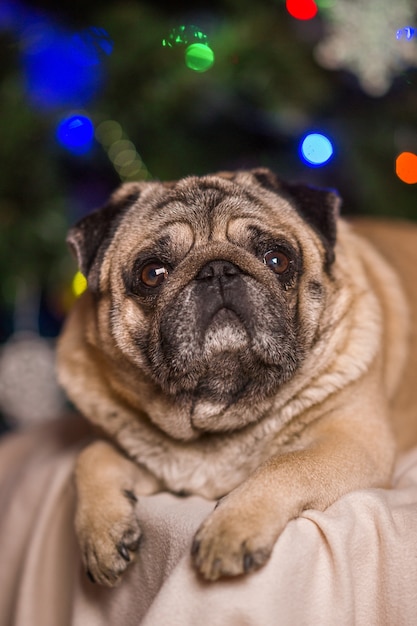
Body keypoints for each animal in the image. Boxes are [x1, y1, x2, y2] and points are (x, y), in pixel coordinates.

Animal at [57, 167, 416, 584]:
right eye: (152, 273)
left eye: (277, 259)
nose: (217, 269)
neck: (216, 405)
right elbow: (90, 456)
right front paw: (101, 533)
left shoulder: (353, 442)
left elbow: (287, 465)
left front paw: (230, 529)